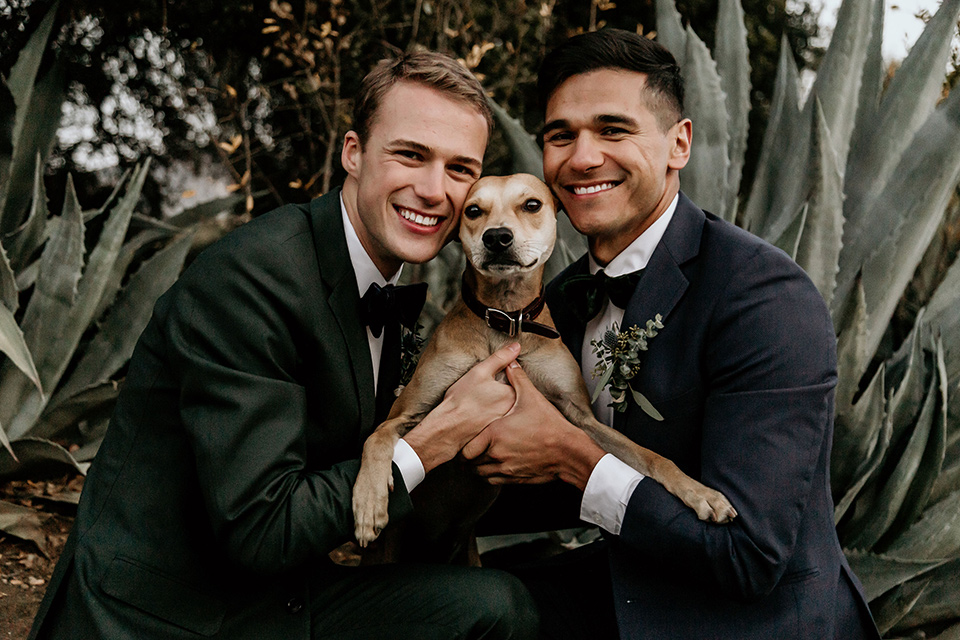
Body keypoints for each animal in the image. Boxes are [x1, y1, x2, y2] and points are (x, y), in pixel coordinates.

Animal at [352, 172, 736, 564]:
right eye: (473, 210)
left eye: (532, 204)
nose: (496, 237)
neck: (506, 320)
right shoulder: (407, 411)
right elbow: (377, 437)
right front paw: (368, 502)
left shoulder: (583, 418)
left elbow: (652, 458)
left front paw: (701, 492)